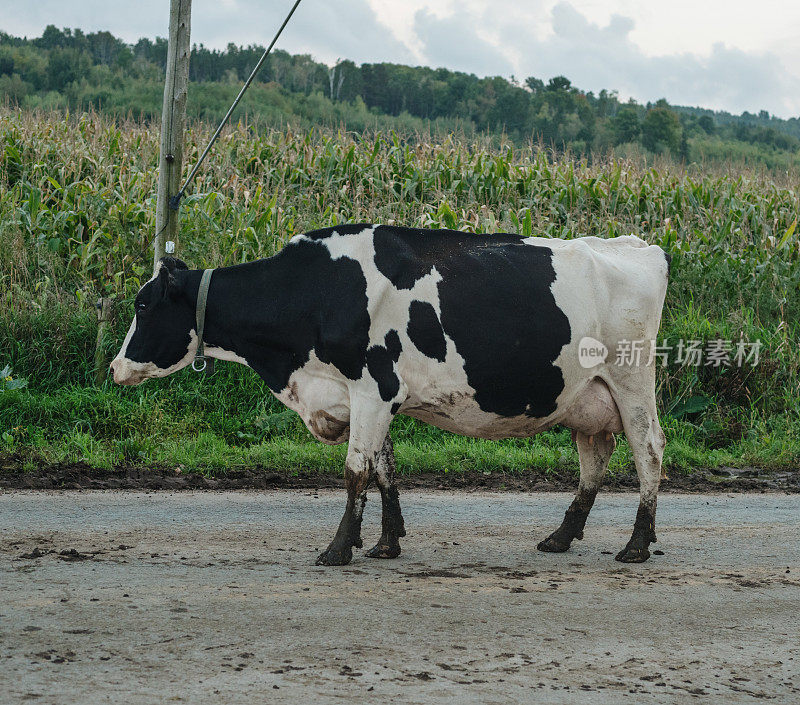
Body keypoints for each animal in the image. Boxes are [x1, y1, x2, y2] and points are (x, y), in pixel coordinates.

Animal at [112, 226, 672, 568]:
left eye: (142, 305)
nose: (115, 368)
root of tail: (642, 247)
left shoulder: (372, 388)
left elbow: (355, 470)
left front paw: (339, 548)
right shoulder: (371, 397)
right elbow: (383, 469)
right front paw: (386, 541)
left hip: (631, 380)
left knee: (648, 451)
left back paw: (637, 544)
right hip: (586, 398)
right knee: (595, 458)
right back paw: (561, 537)